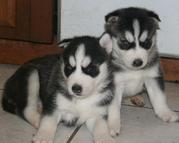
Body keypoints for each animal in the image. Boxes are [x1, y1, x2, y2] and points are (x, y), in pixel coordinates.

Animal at [104, 7, 178, 137]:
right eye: (125, 42)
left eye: (146, 42)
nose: (138, 62)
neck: (134, 70)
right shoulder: (115, 83)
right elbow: (114, 107)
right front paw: (113, 124)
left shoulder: (153, 76)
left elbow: (159, 97)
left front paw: (165, 113)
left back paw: (136, 98)